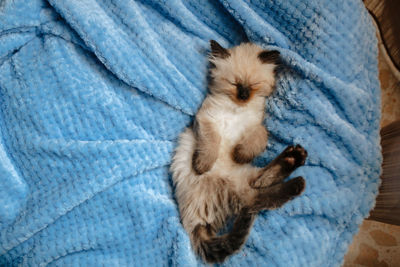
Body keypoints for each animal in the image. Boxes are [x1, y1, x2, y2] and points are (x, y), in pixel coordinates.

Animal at [170, 40, 308, 264]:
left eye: (253, 85)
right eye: (235, 84)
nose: (243, 96)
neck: (237, 109)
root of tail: (194, 223)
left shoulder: (256, 126)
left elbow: (258, 139)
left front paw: (239, 154)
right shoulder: (207, 121)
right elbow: (211, 144)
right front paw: (202, 165)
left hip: (245, 178)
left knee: (259, 190)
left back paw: (295, 160)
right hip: (235, 189)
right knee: (256, 200)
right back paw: (296, 171)